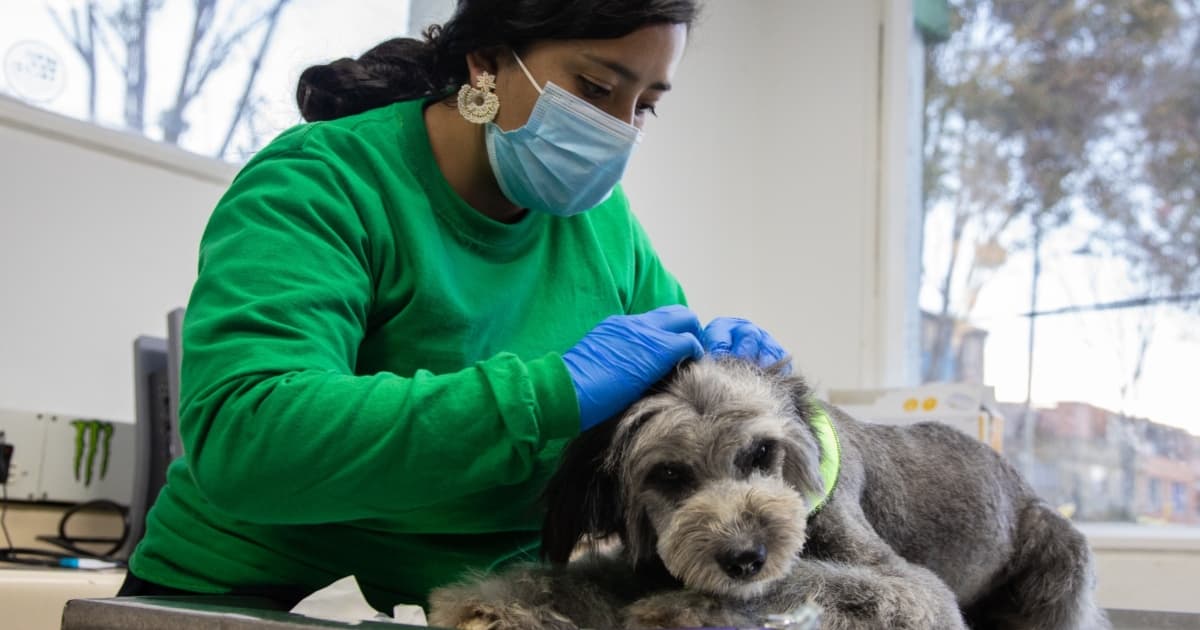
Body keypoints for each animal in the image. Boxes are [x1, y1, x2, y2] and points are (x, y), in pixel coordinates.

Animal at [429, 357, 1104, 628]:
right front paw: (495, 603)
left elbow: (815, 580)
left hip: (1060, 558)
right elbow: (572, 576)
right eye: (667, 475)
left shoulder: (917, 593)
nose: (743, 557)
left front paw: (683, 610)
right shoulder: (645, 562)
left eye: (760, 453)